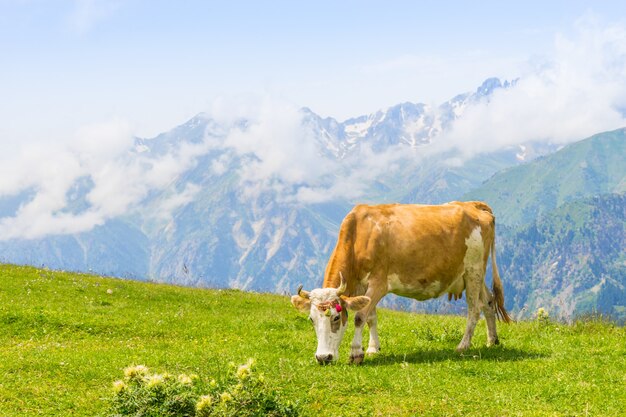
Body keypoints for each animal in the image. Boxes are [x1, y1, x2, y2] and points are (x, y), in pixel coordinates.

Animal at [290, 202, 510, 364]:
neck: (359, 235)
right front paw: (373, 348)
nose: (323, 358)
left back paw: (463, 345)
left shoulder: (378, 283)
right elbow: (371, 317)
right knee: (488, 301)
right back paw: (492, 340)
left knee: (474, 309)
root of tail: (473, 205)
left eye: (336, 317)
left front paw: (356, 352)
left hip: (473, 270)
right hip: (471, 274)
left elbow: (360, 317)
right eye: (311, 319)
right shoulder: (363, 286)